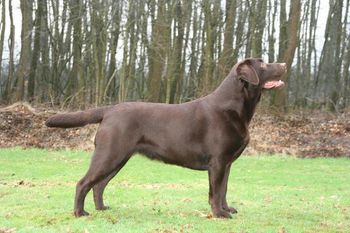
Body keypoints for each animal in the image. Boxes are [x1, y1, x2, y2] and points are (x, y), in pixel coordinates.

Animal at [45, 58, 288, 218]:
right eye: (263, 65)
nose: (285, 64)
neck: (237, 107)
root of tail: (110, 109)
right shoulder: (218, 161)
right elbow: (215, 191)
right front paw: (219, 214)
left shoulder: (227, 163)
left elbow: (224, 189)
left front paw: (227, 209)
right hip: (109, 154)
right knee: (83, 183)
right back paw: (79, 213)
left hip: (118, 157)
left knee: (99, 185)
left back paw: (101, 208)